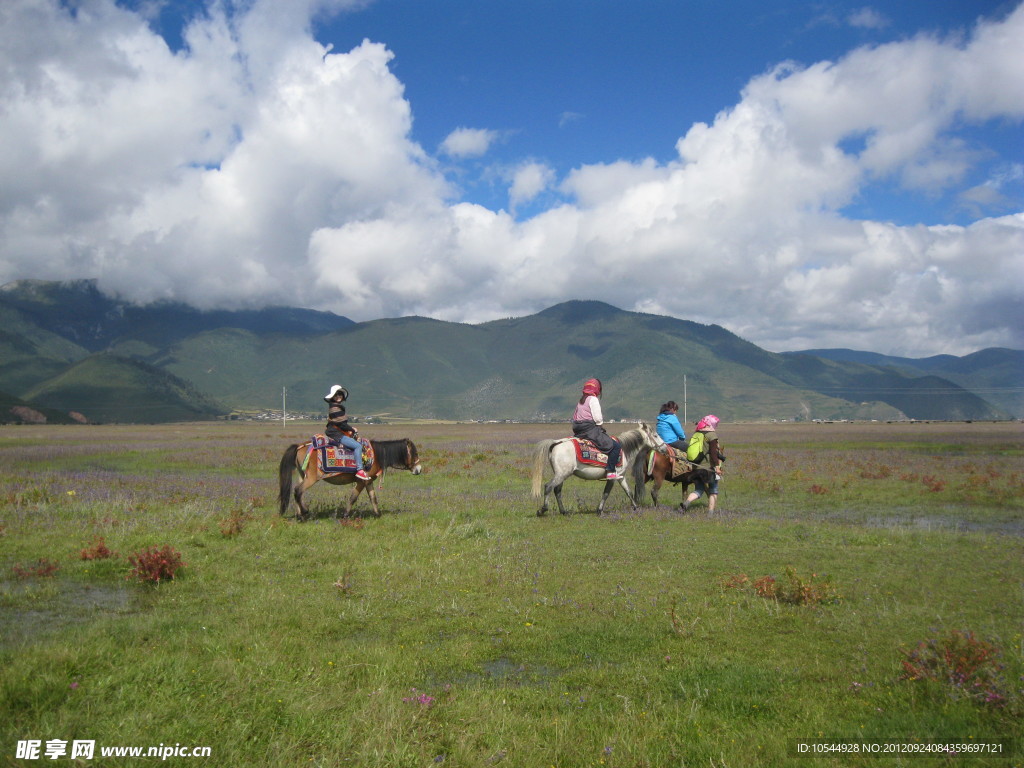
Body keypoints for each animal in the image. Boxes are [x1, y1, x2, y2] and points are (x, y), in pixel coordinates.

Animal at [276, 436, 419, 520]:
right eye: (414, 453)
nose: (419, 469)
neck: (376, 455)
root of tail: (300, 446)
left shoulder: (368, 481)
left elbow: (373, 498)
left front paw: (378, 514)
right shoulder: (361, 481)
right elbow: (353, 498)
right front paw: (345, 515)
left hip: (302, 475)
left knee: (297, 492)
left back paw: (299, 515)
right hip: (311, 478)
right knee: (298, 491)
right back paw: (304, 512)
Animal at [532, 421, 667, 518]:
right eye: (655, 435)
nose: (665, 448)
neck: (624, 448)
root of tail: (556, 443)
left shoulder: (621, 476)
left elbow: (629, 492)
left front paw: (636, 508)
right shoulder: (612, 477)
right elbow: (606, 493)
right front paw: (600, 510)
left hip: (562, 474)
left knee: (557, 490)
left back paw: (564, 512)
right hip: (561, 474)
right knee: (548, 487)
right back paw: (542, 510)